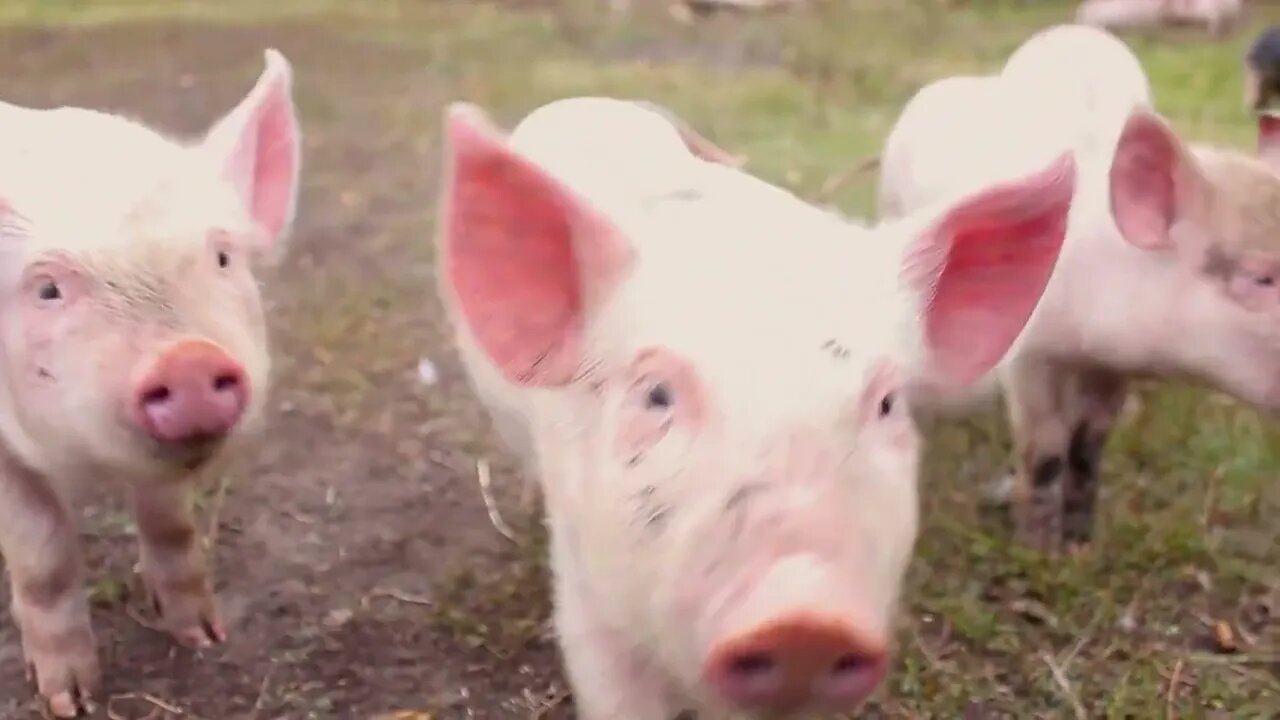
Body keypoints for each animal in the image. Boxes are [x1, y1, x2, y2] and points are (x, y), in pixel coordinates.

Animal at [0, 49, 299, 712]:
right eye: (48, 288)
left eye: (222, 256)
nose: (187, 359)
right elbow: (43, 560)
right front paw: (71, 702)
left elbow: (171, 524)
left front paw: (205, 637)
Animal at [875, 22, 1280, 548]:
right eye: (1261, 277)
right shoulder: (1029, 355)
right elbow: (1045, 448)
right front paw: (1038, 549)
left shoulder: (1112, 366)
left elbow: (1089, 443)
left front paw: (1081, 544)